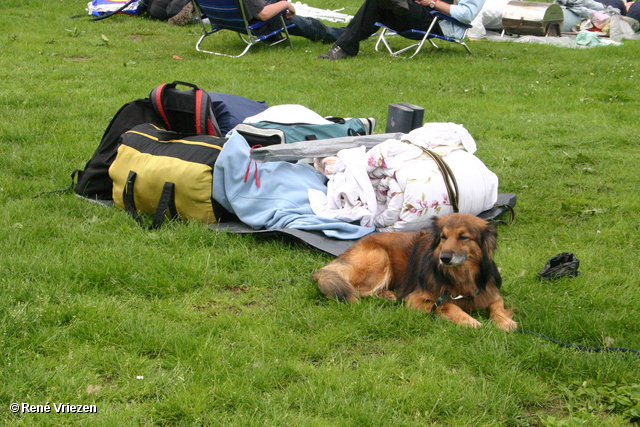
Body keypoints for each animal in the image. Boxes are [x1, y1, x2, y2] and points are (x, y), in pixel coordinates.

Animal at [312, 213, 516, 332]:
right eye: (443, 237)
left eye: (463, 237)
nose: (444, 258)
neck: (459, 276)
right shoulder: (415, 299)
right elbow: (448, 305)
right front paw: (469, 320)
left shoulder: (491, 293)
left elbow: (497, 307)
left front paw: (505, 322)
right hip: (379, 258)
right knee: (355, 290)